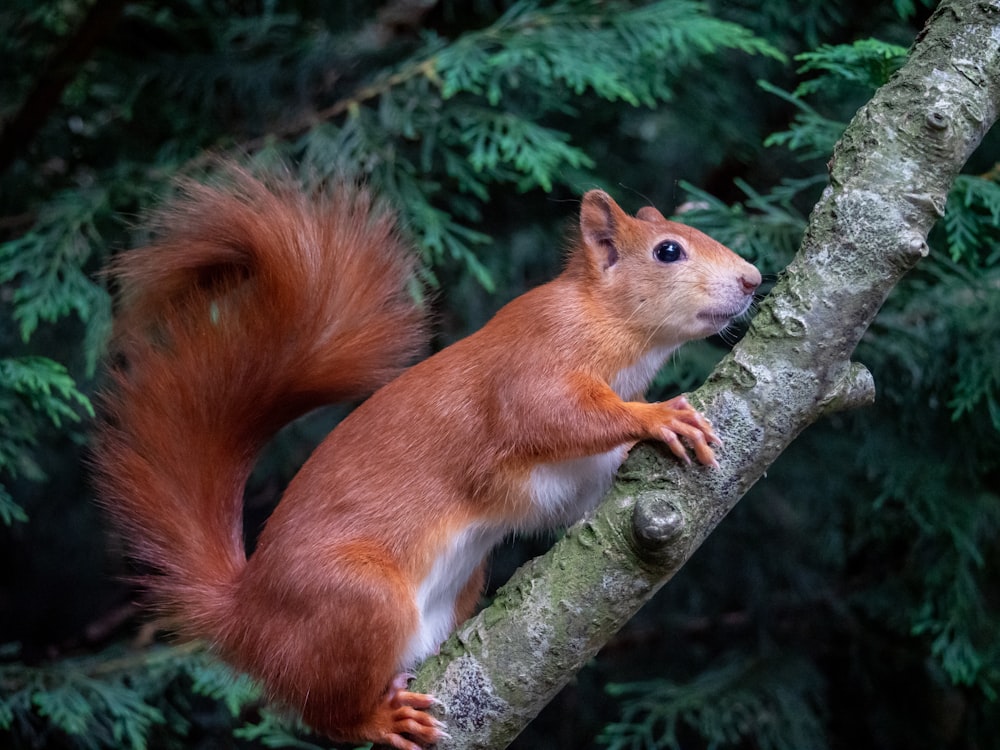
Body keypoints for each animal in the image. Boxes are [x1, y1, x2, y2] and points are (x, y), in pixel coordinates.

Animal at [94, 170, 756, 750]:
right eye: (668, 251)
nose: (752, 279)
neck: (604, 319)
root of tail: (247, 616)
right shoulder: (534, 363)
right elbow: (550, 414)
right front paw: (658, 415)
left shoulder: (573, 477)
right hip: (357, 601)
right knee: (326, 713)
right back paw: (378, 721)